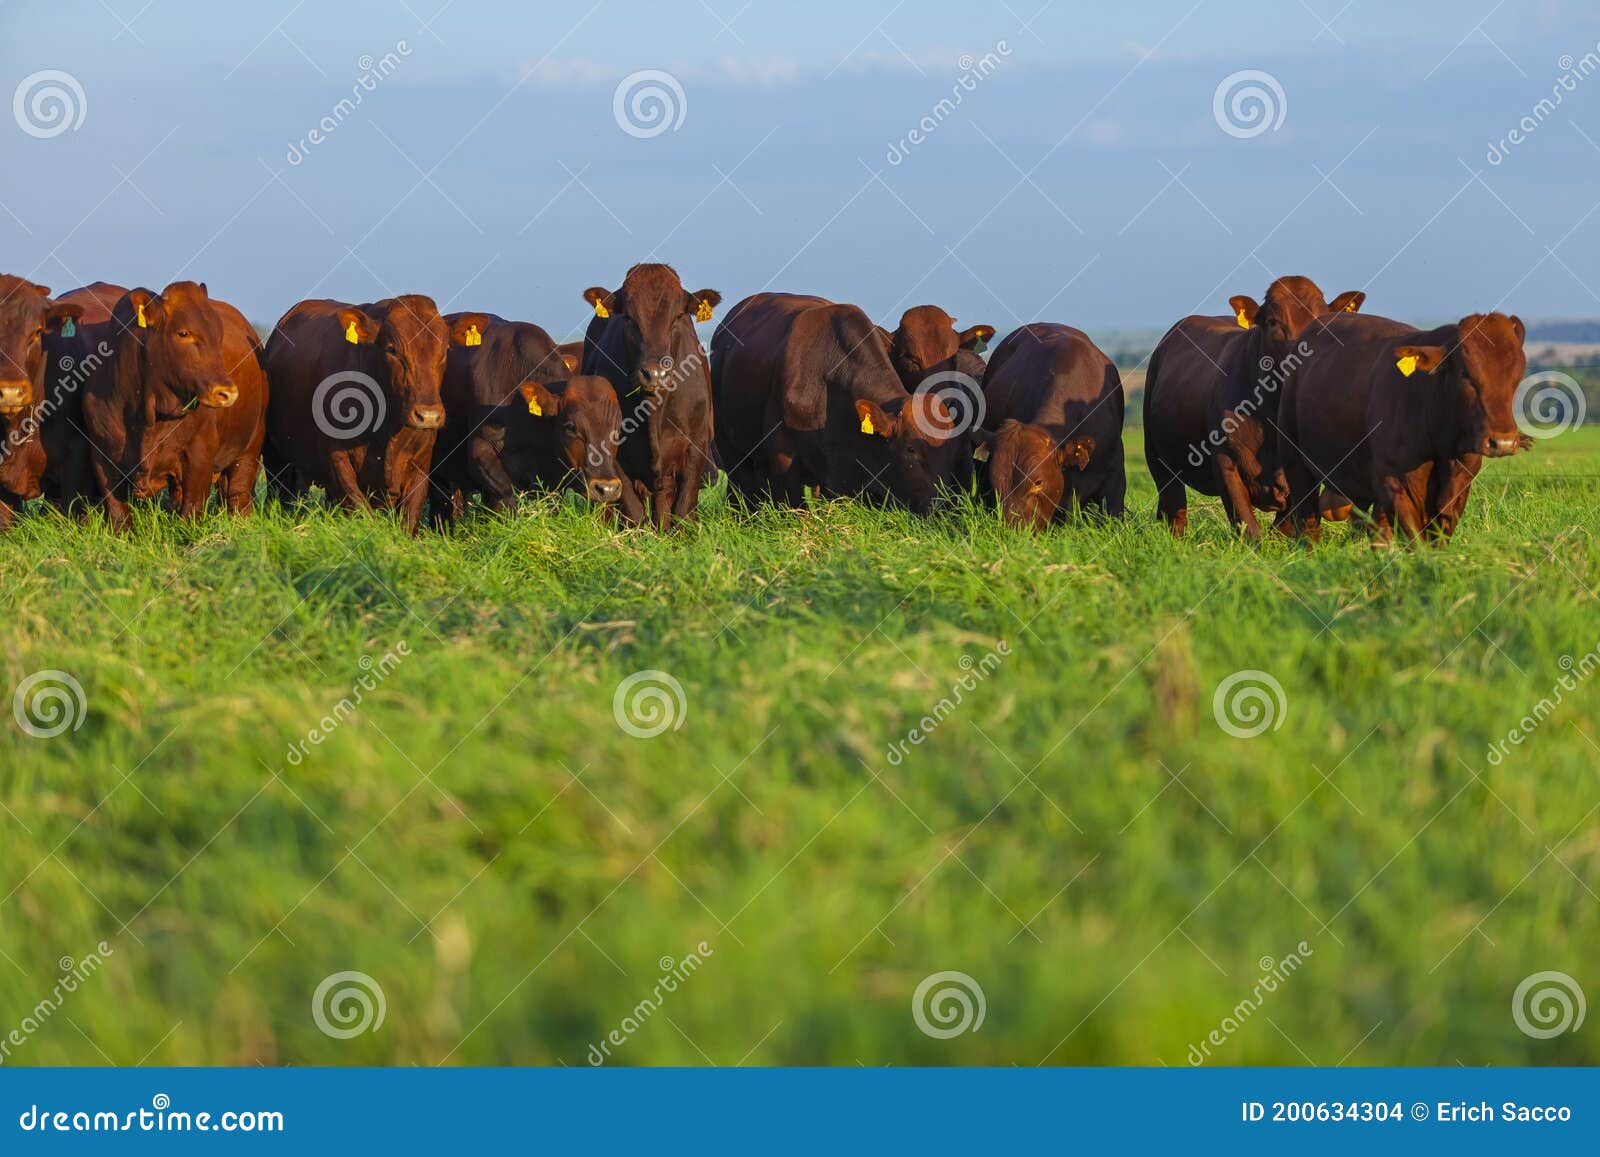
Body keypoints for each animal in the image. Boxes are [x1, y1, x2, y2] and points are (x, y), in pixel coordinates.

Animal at [79, 282, 248, 530]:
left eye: (219, 334)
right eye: (183, 333)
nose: (227, 392)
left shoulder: (199, 453)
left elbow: (192, 508)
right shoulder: (102, 456)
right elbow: (118, 513)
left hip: (249, 452)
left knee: (238, 496)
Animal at [263, 296, 484, 534]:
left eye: (445, 350)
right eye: (392, 349)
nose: (428, 415)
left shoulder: (421, 466)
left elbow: (409, 519)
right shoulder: (338, 461)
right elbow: (361, 511)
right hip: (276, 458)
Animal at [580, 263, 719, 529]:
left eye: (678, 317)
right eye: (628, 318)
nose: (655, 373)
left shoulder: (697, 443)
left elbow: (683, 509)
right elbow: (634, 512)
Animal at [1142, 276, 1365, 540]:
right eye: (1273, 322)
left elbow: (1282, 528)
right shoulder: (1225, 463)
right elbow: (1249, 528)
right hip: (1156, 455)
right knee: (1175, 509)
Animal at [1278, 311, 1529, 545]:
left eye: (1517, 375)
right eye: (1465, 374)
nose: (1503, 443)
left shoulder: (1459, 487)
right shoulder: (1396, 484)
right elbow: (1416, 541)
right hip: (1296, 464)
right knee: (1308, 522)